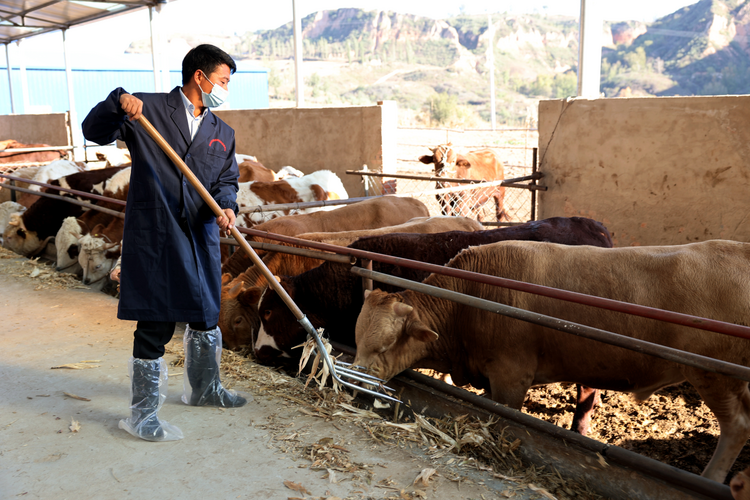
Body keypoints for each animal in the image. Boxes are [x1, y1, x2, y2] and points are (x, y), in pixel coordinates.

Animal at [356, 240, 750, 482]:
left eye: (386, 345)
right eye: (357, 338)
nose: (355, 381)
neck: (469, 301)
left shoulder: (510, 375)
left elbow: (504, 417)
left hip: (715, 374)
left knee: (737, 426)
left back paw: (710, 478)